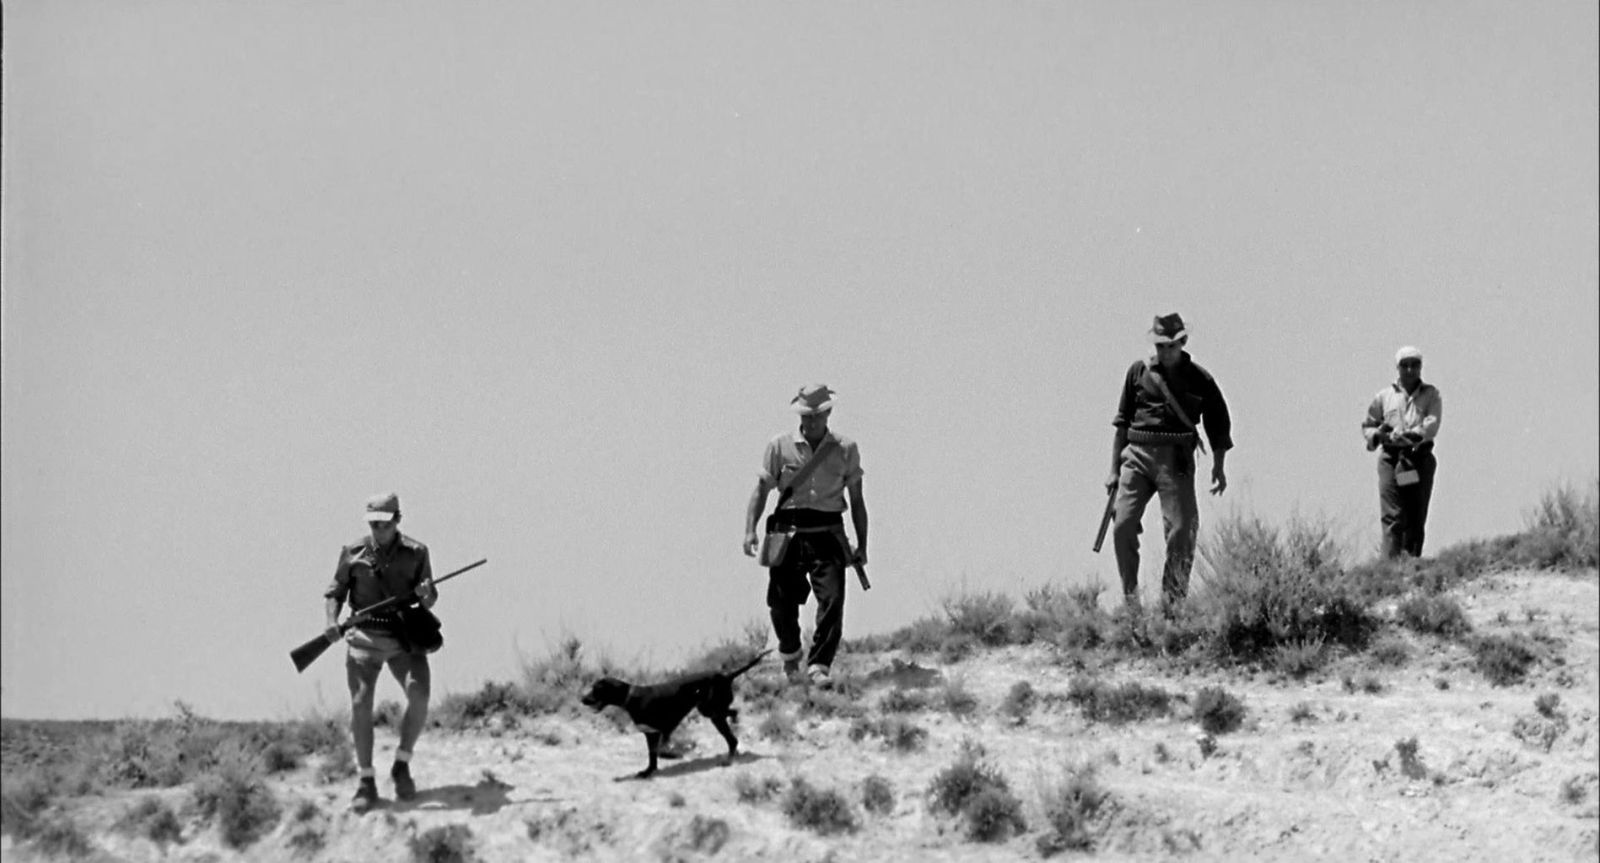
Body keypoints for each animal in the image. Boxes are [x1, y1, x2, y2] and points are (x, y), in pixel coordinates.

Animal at [582, 646, 774, 784]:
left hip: (712, 711)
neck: (632, 698)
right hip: (710, 711)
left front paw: (668, 757)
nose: (583, 699)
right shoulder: (650, 733)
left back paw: (729, 757)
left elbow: (659, 751)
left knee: (732, 733)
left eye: (596, 689)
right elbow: (652, 756)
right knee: (733, 722)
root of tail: (727, 675)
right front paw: (648, 771)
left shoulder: (662, 731)